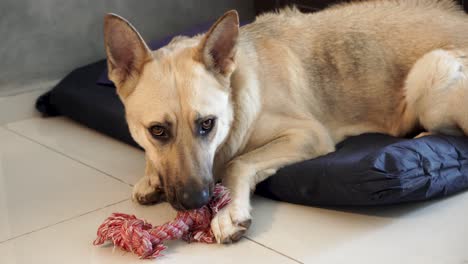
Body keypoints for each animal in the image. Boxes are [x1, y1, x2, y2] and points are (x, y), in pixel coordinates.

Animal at [104, 0, 468, 243]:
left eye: (207, 124)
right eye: (157, 131)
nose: (195, 201)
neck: (236, 91)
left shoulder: (307, 134)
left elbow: (238, 162)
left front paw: (230, 211)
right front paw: (150, 176)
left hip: (432, 68)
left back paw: (420, 137)